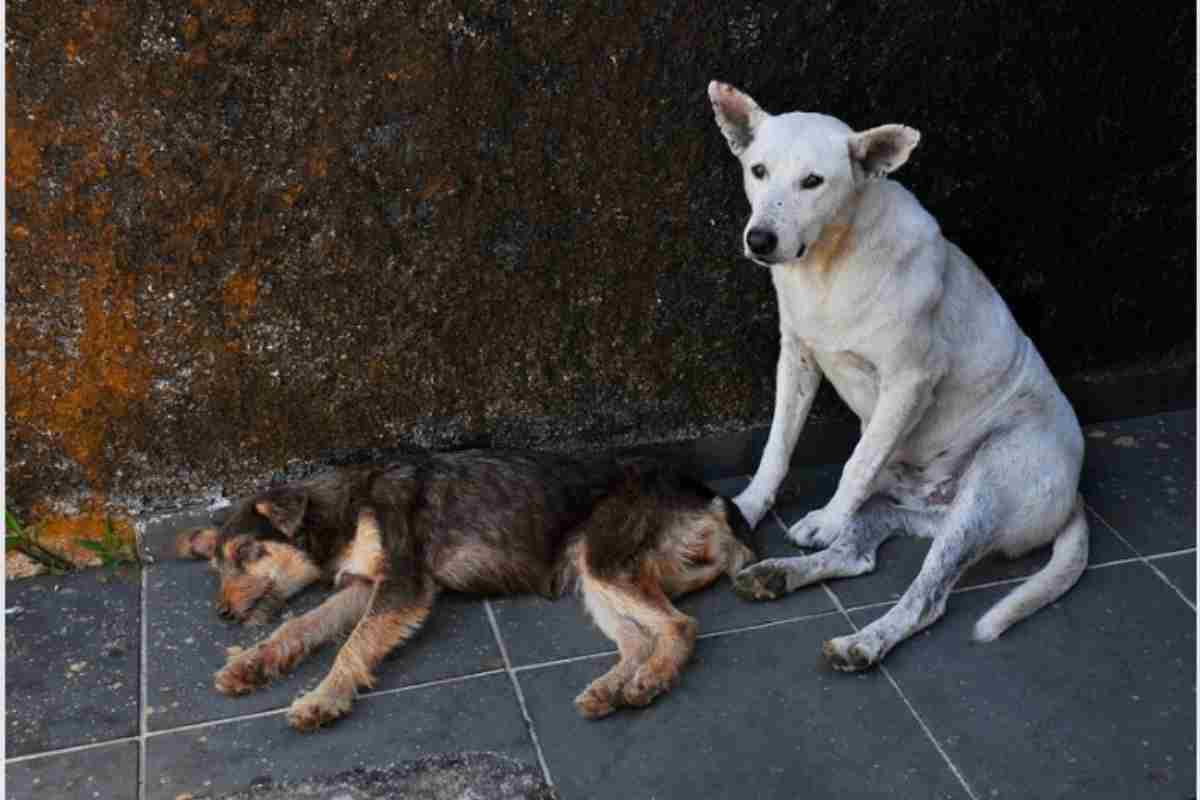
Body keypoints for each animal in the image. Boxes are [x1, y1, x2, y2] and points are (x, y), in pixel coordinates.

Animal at [174, 450, 753, 734]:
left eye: (246, 553)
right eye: (216, 566)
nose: (222, 614)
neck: (344, 507)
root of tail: (711, 501)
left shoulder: (402, 586)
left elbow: (350, 647)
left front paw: (322, 698)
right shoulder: (363, 586)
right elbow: (303, 624)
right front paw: (250, 663)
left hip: (607, 557)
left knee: (679, 625)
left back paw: (650, 680)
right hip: (594, 574)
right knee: (637, 640)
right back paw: (610, 688)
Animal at [705, 82, 1094, 671]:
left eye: (813, 181)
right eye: (758, 170)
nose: (761, 239)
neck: (831, 265)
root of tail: (1073, 494)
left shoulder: (907, 382)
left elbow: (855, 462)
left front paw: (824, 518)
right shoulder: (796, 359)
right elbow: (777, 445)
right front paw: (749, 505)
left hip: (983, 494)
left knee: (926, 596)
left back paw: (863, 640)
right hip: (911, 508)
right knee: (860, 549)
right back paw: (781, 574)